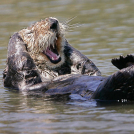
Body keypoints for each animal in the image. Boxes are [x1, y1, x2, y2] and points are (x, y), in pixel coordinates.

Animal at [2, 17, 134, 100]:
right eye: (31, 33)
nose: (54, 22)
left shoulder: (89, 70)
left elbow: (86, 65)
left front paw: (66, 45)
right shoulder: (23, 82)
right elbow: (22, 65)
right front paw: (16, 36)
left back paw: (125, 59)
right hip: (108, 90)